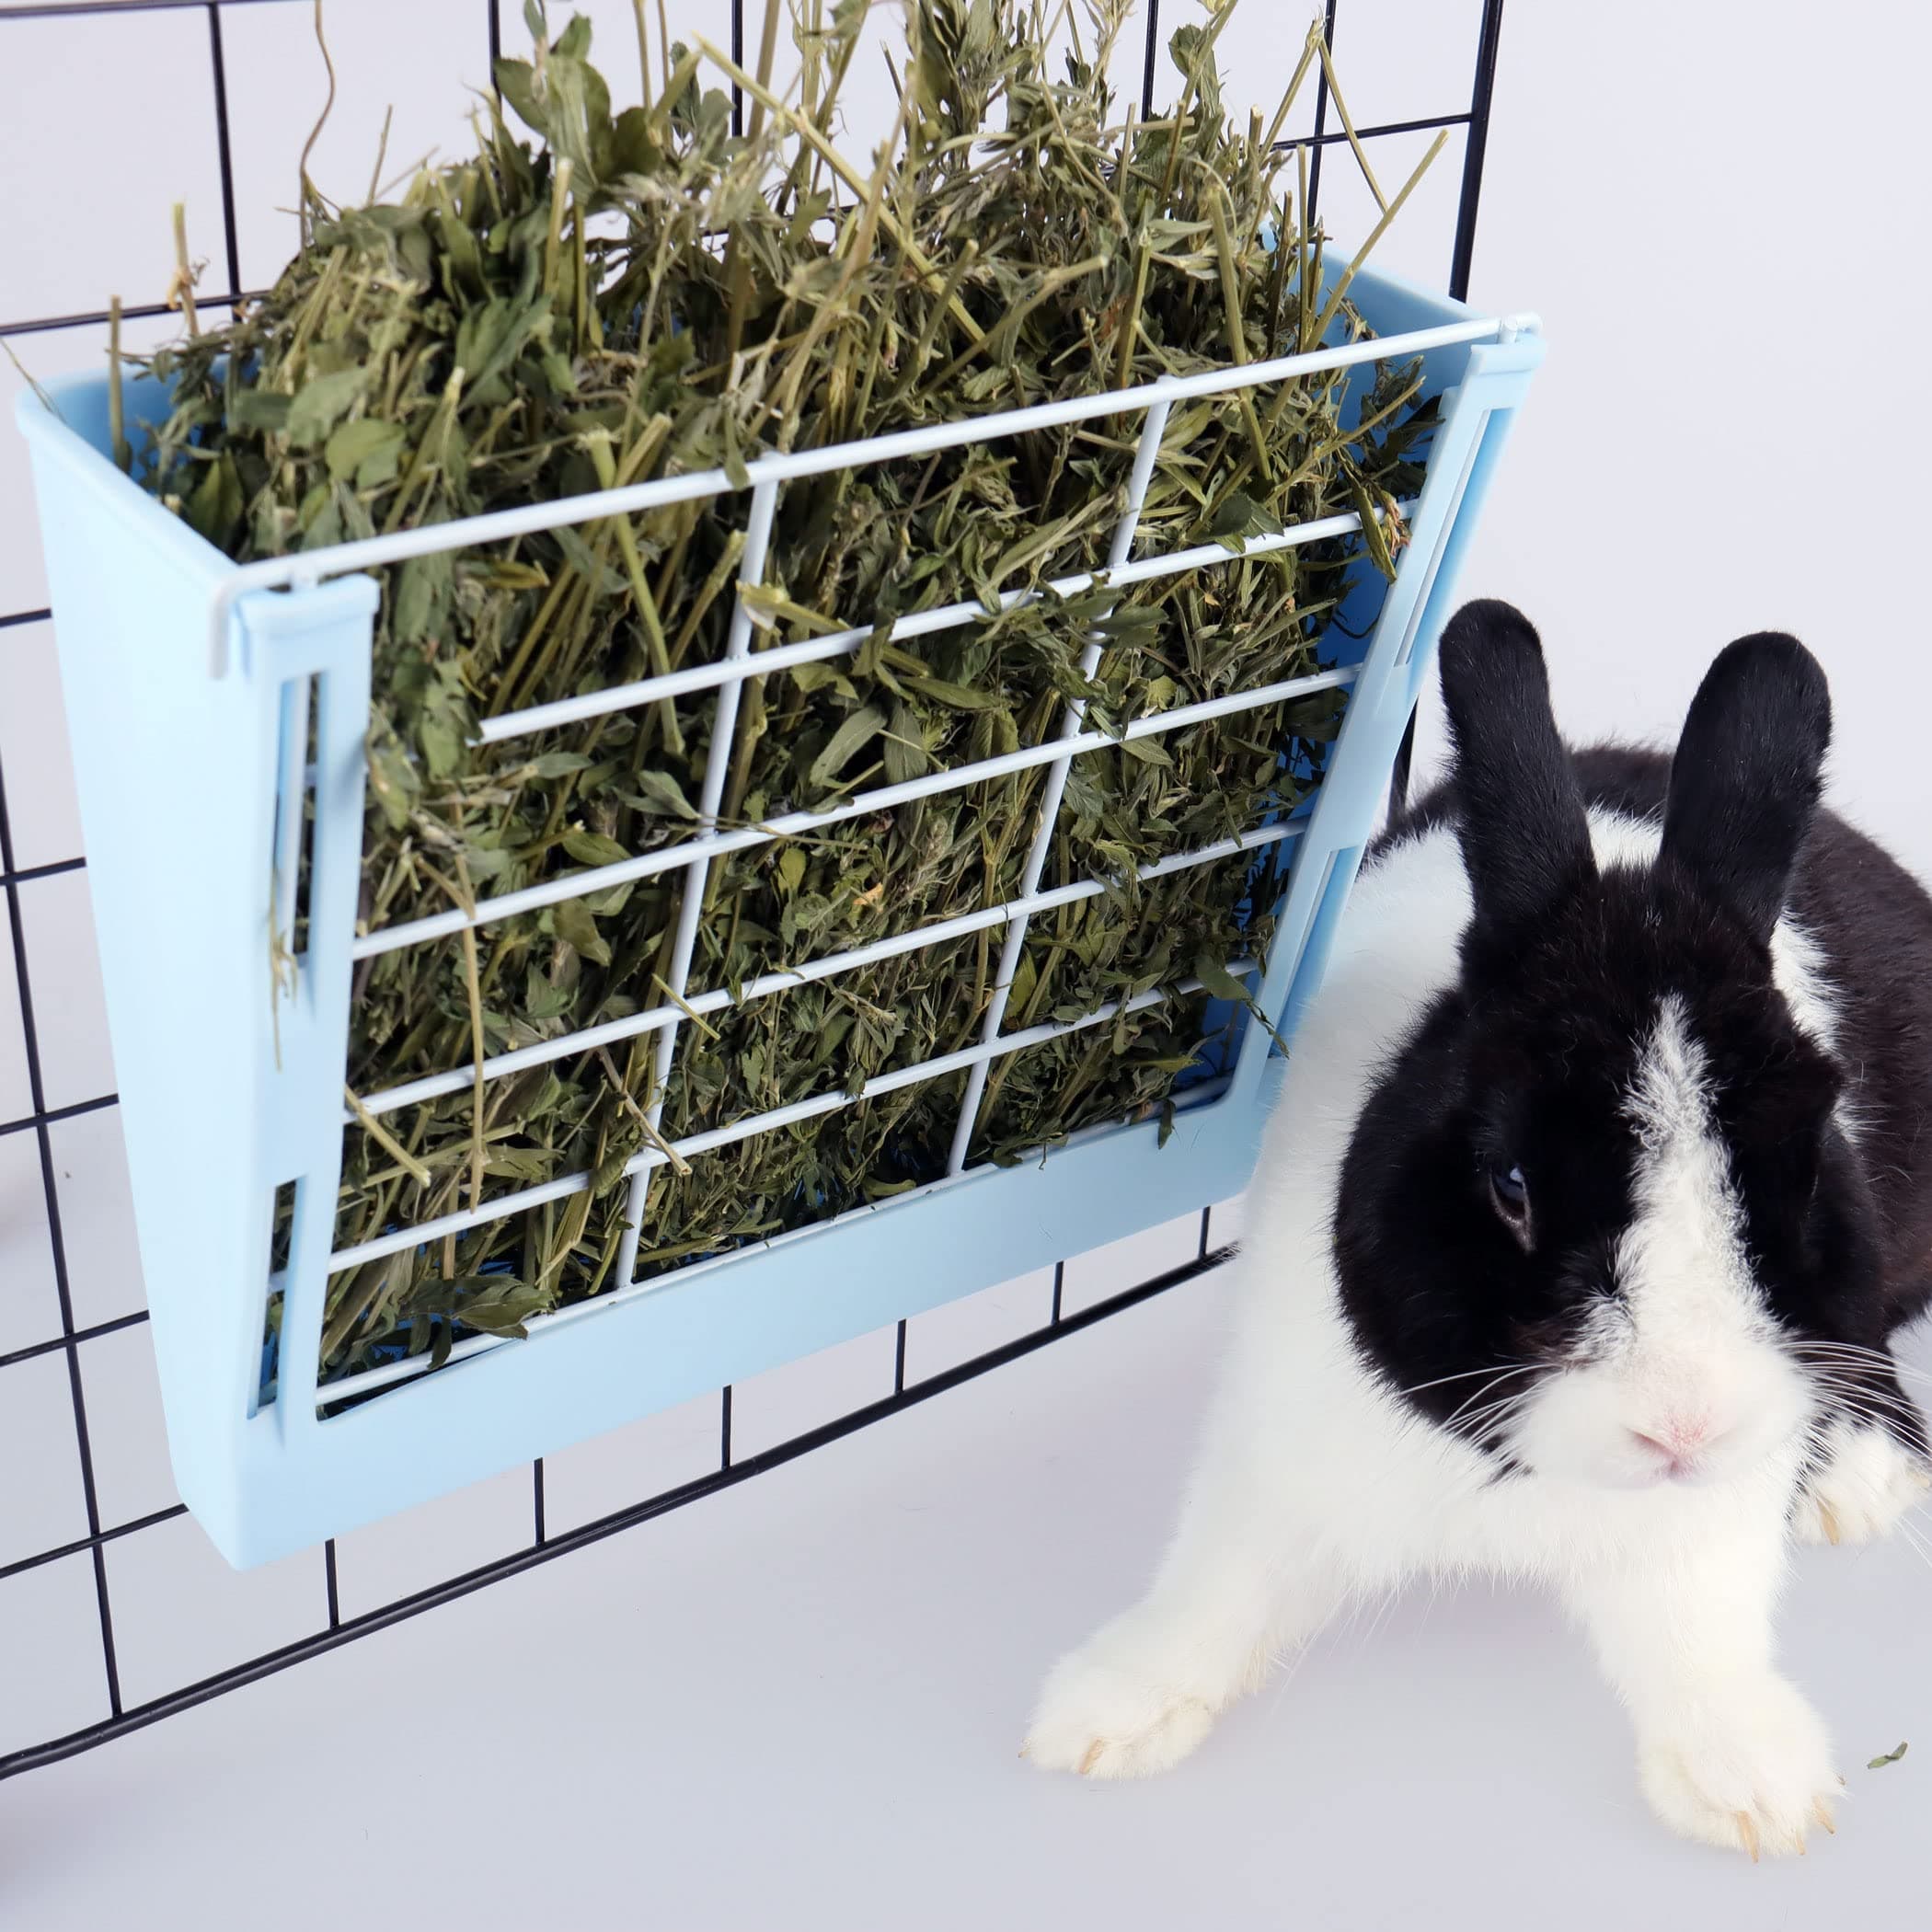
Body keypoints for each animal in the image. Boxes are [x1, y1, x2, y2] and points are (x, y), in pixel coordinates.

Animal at [1024, 599, 1932, 1857]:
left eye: (1799, 1169)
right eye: (1510, 1185)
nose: (1683, 1429)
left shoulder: (1709, 1522)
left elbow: (1702, 1643)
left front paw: (1756, 1797)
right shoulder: (1277, 1459)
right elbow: (1213, 1587)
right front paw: (1098, 1722)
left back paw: (1860, 1482)